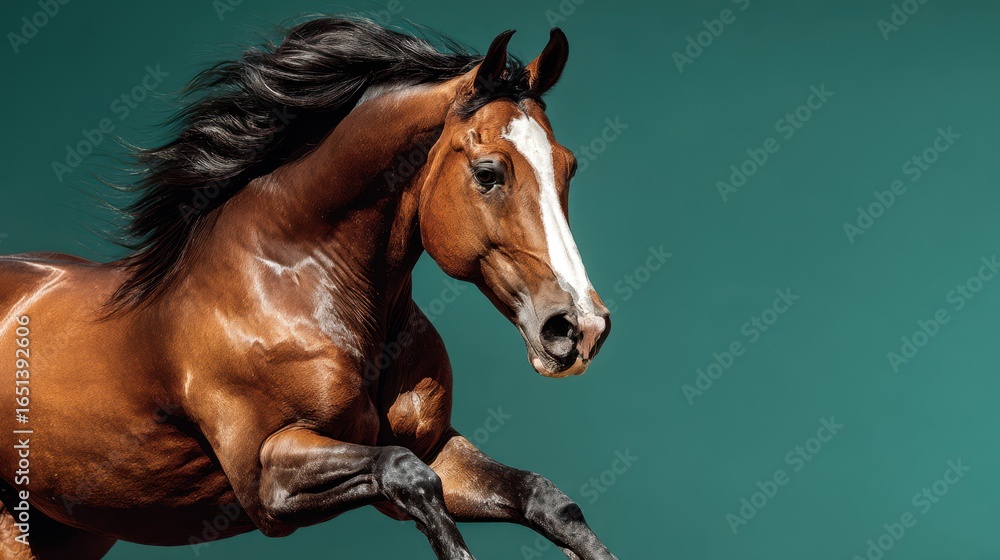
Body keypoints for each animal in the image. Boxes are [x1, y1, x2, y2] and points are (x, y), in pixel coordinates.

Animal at [0, 18, 614, 560]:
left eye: (569, 168)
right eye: (489, 172)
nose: (579, 327)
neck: (291, 282)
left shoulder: (437, 448)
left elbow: (544, 499)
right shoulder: (269, 479)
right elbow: (407, 476)